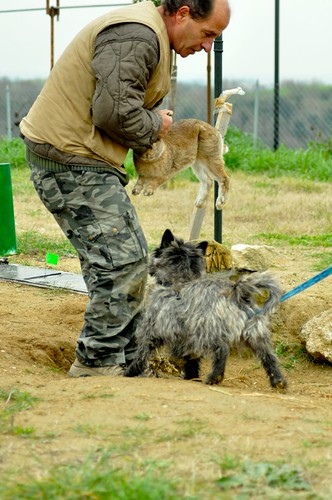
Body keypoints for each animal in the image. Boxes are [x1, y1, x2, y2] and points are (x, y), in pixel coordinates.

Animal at [125, 229, 288, 388]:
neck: (180, 280)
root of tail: (237, 292)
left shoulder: (151, 329)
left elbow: (142, 353)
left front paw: (131, 371)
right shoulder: (187, 339)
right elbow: (192, 360)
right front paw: (192, 377)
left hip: (209, 331)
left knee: (222, 350)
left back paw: (214, 377)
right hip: (256, 335)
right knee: (269, 356)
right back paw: (278, 381)